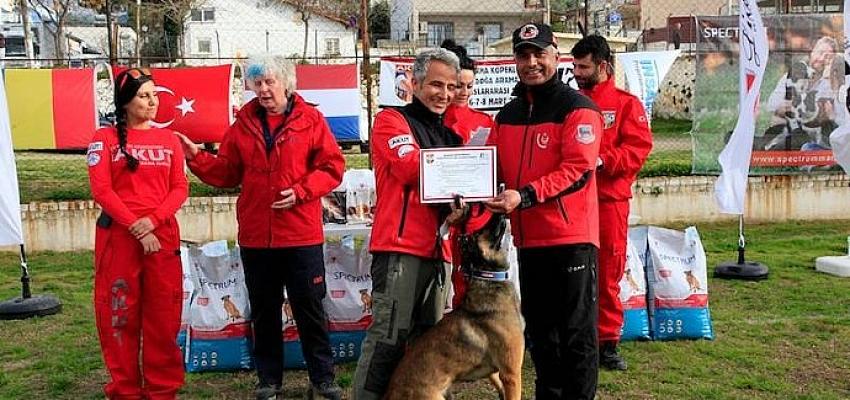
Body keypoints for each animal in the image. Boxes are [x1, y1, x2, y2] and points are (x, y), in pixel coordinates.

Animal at [382, 214, 520, 398]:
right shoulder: (511, 374)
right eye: (479, 232)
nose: (499, 214)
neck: (487, 278)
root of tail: (390, 392)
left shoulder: (497, 372)